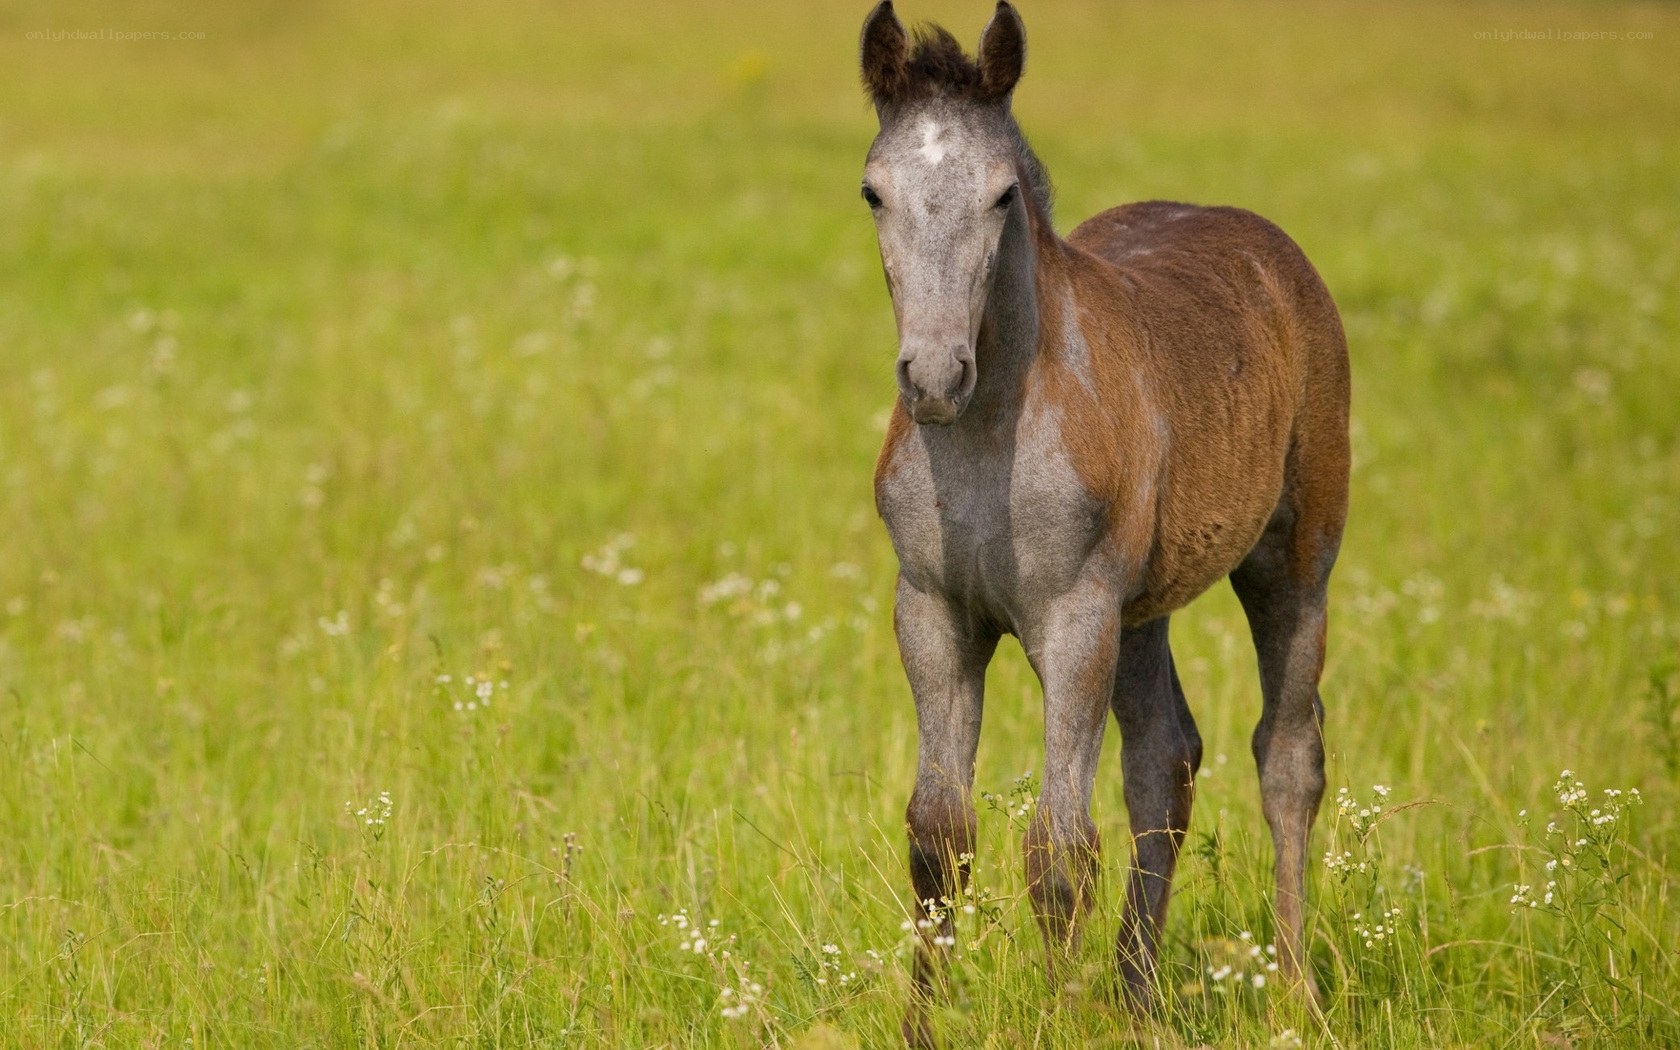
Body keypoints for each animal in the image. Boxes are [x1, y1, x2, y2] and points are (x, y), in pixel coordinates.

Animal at [857, 2, 1350, 1040]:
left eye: (1003, 195)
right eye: (874, 192)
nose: (933, 376)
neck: (989, 433)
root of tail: (1273, 251)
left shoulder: (1073, 617)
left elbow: (1058, 847)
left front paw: (1056, 1018)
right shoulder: (932, 612)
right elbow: (937, 836)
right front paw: (922, 1026)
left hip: (1294, 562)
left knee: (1288, 757)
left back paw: (1294, 993)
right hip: (1142, 609)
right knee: (1166, 759)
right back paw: (1136, 997)